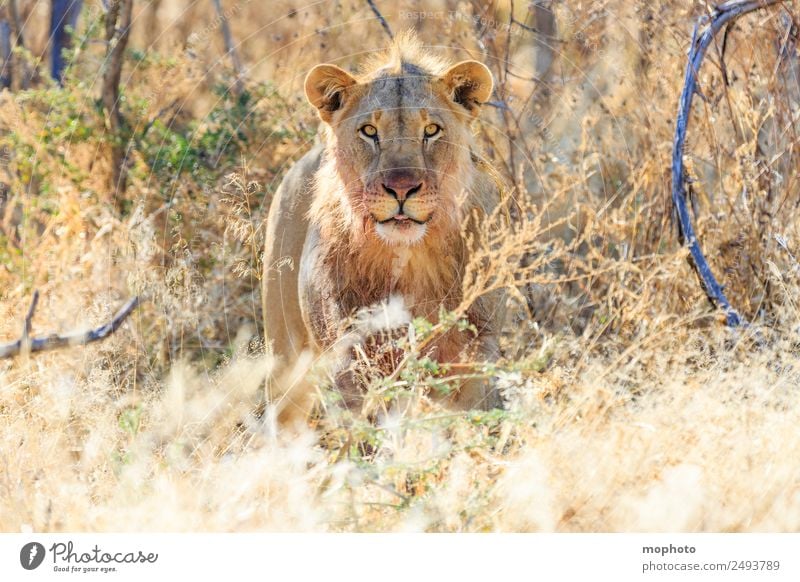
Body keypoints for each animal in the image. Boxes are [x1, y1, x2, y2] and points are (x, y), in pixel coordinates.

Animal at [266, 34, 506, 428]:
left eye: (431, 130)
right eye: (369, 132)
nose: (402, 188)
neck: (409, 258)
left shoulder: (477, 348)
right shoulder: (351, 357)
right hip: (286, 357)